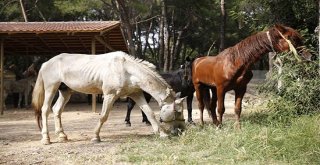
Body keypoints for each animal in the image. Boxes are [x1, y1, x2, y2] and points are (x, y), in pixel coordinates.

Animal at [32, 51, 185, 144]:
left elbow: (150, 113)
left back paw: (62, 136)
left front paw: (162, 134)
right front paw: (95, 137)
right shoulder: (109, 95)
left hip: (65, 91)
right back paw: (46, 139)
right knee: (45, 110)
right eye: (177, 111)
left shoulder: (136, 94)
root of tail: (46, 63)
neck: (126, 69)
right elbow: (103, 116)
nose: (181, 131)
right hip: (51, 88)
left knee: (57, 110)